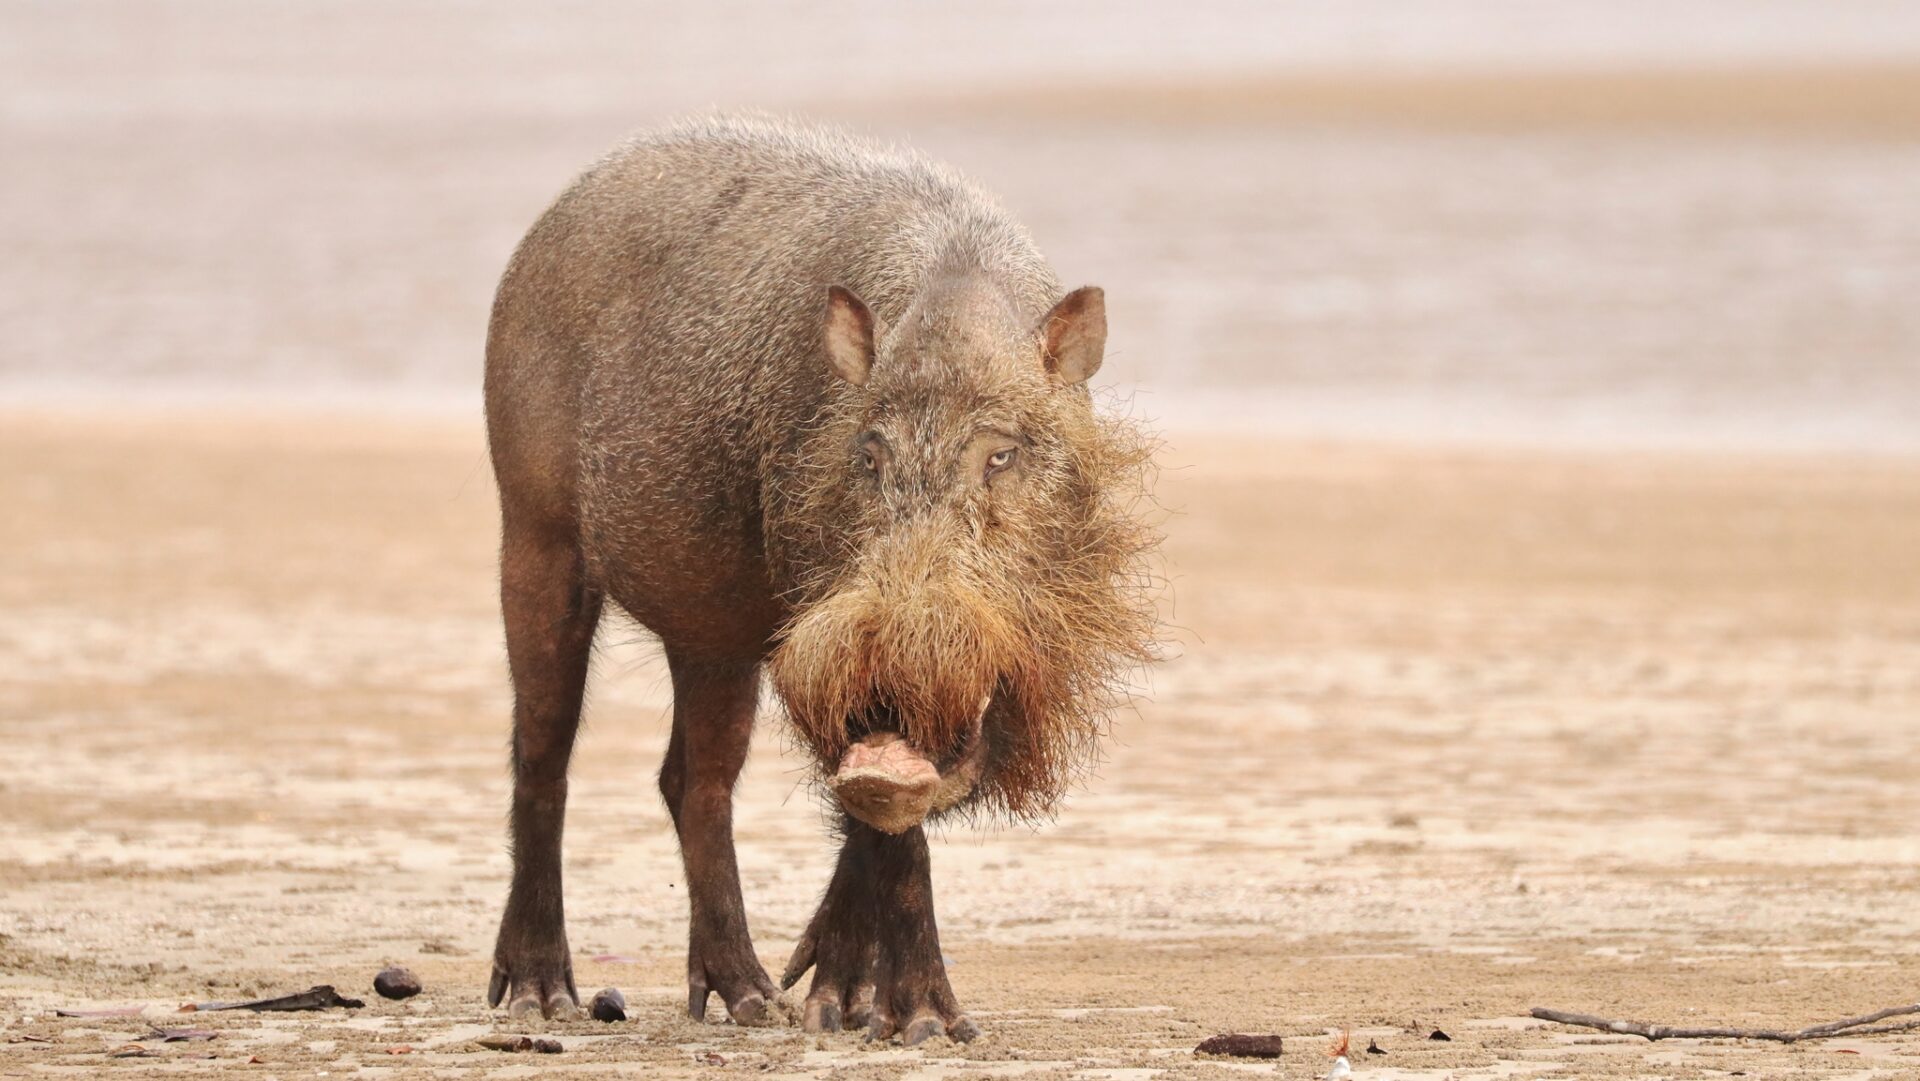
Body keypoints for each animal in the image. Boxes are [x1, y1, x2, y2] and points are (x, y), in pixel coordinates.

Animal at [482, 115, 1159, 1045]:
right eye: (867, 453)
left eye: (1002, 453)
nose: (890, 644)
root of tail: (538, 233)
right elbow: (887, 828)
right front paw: (922, 1023)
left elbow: (867, 811)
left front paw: (845, 1004)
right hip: (533, 530)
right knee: (542, 757)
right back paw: (545, 995)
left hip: (710, 629)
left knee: (691, 779)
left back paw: (749, 998)